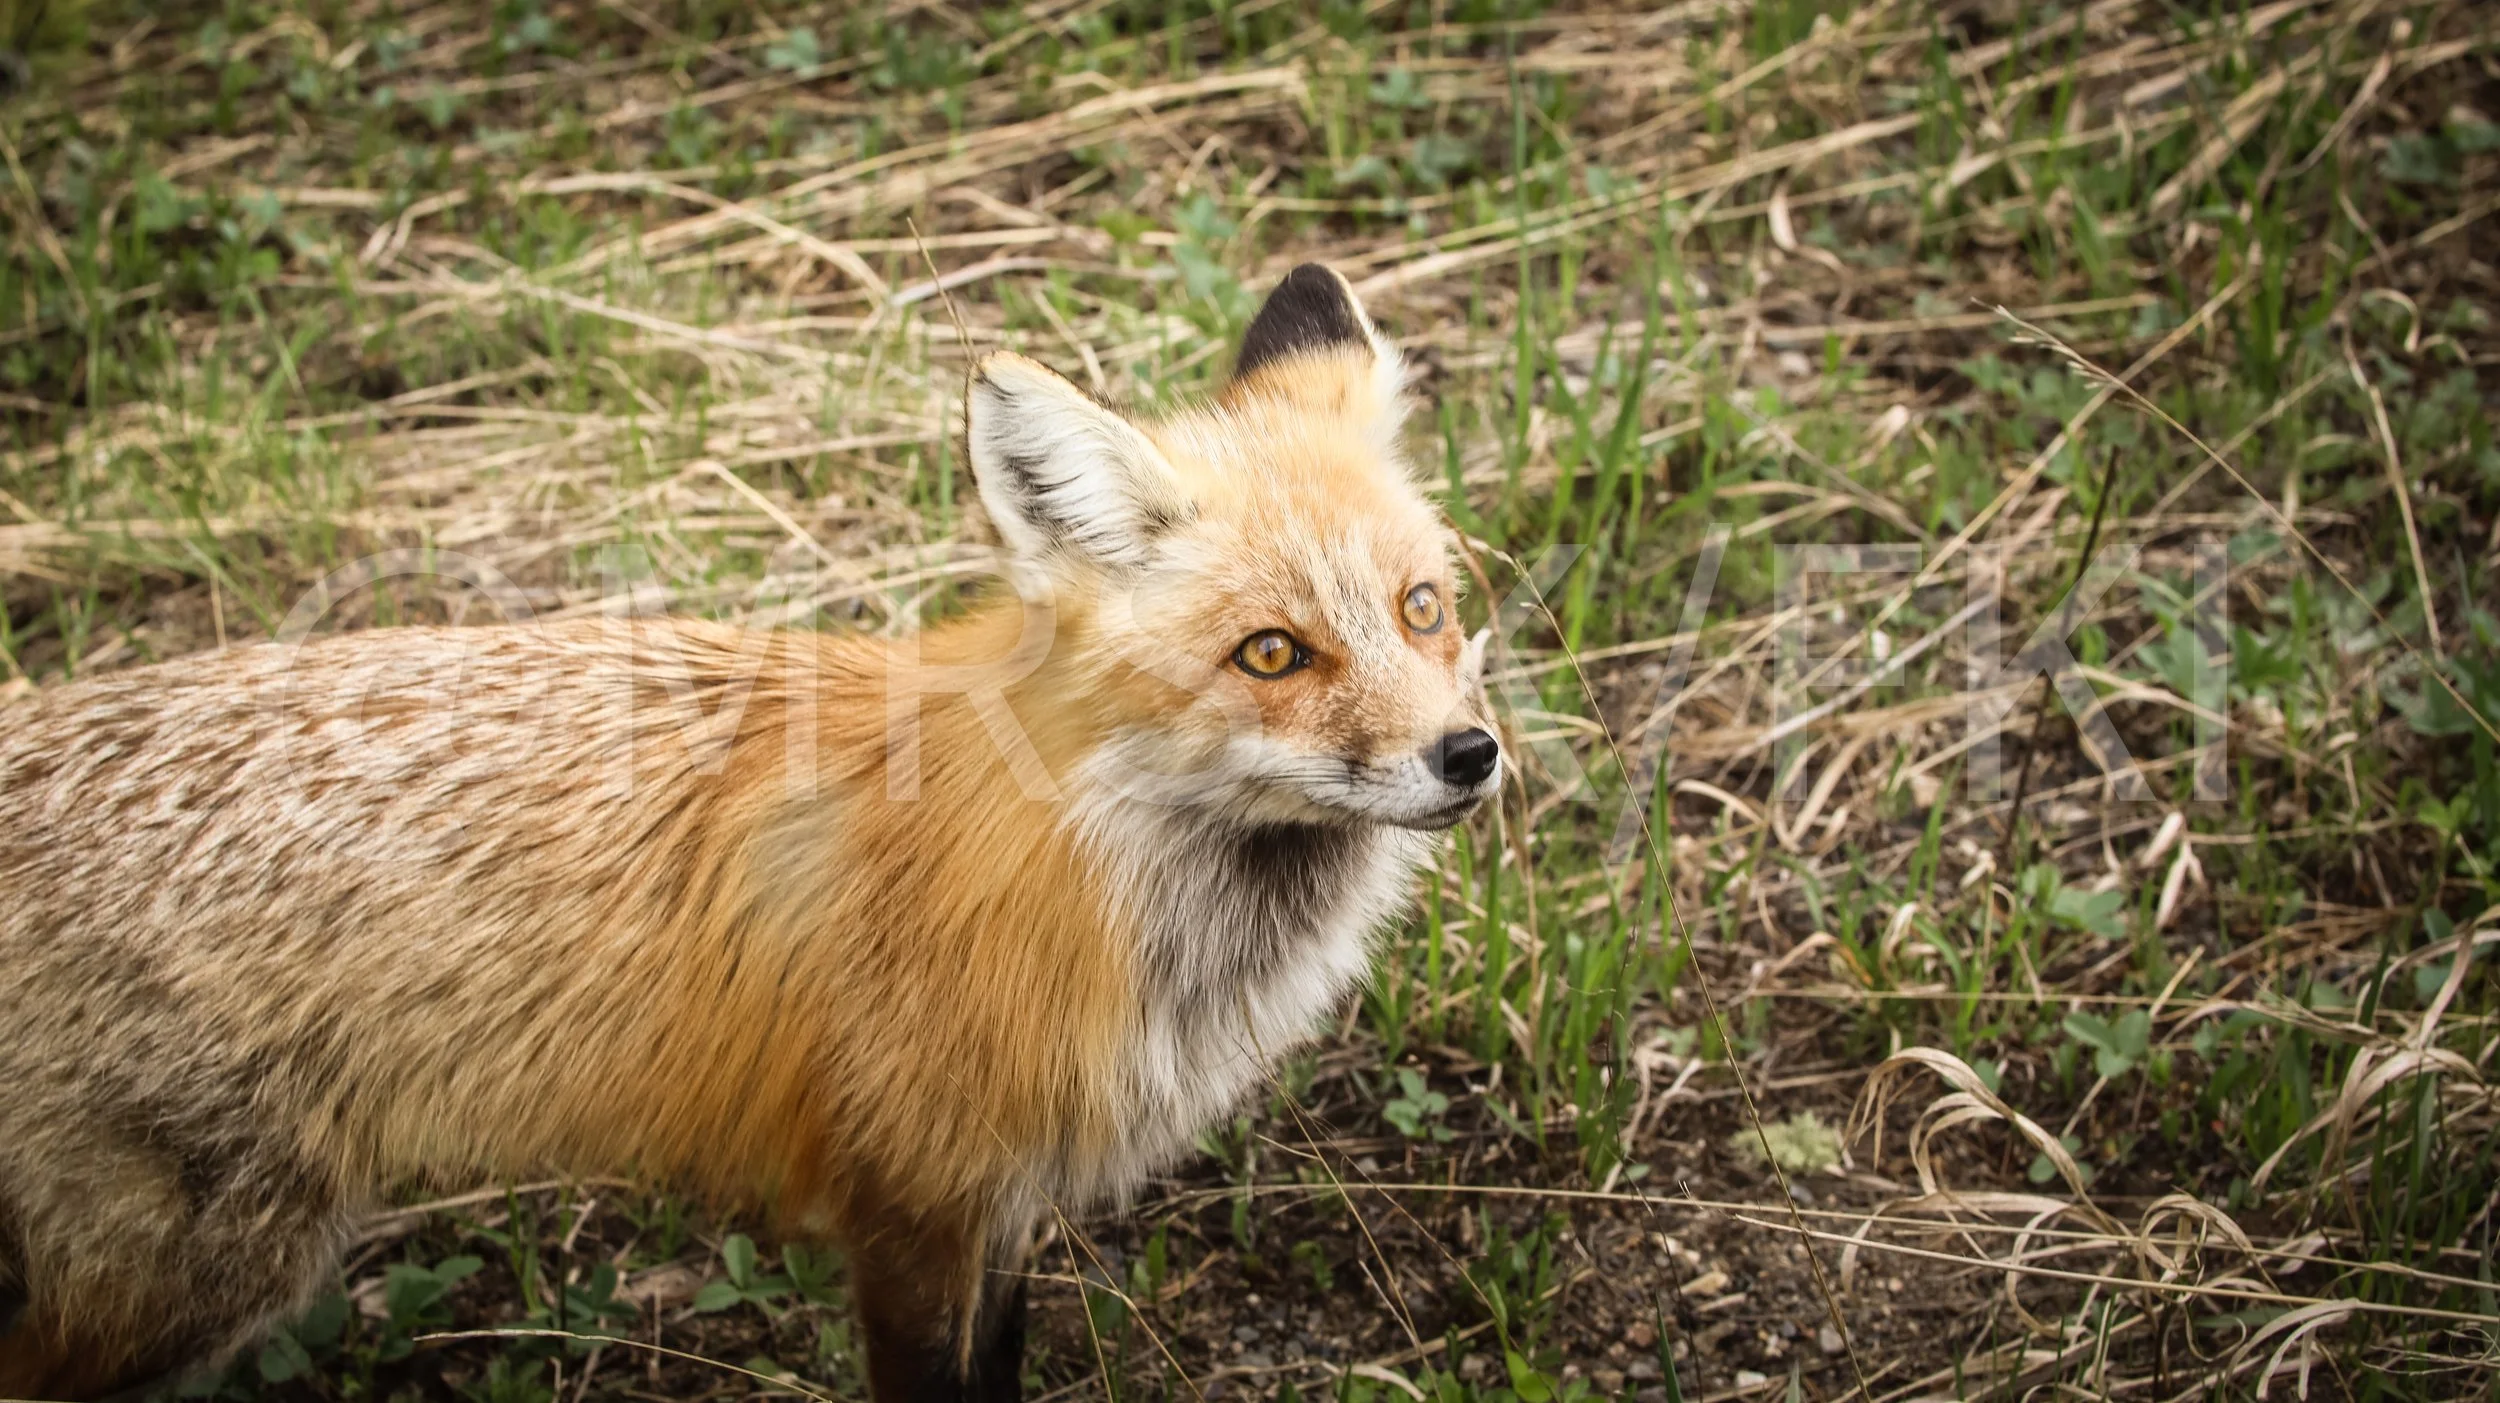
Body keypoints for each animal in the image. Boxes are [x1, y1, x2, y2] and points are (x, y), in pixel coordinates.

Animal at [0, 264, 1502, 1401]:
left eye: (1423, 608)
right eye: (1273, 651)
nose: (1469, 753)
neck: (1105, 870)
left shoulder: (1006, 1203)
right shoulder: (910, 1209)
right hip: (193, 1272)